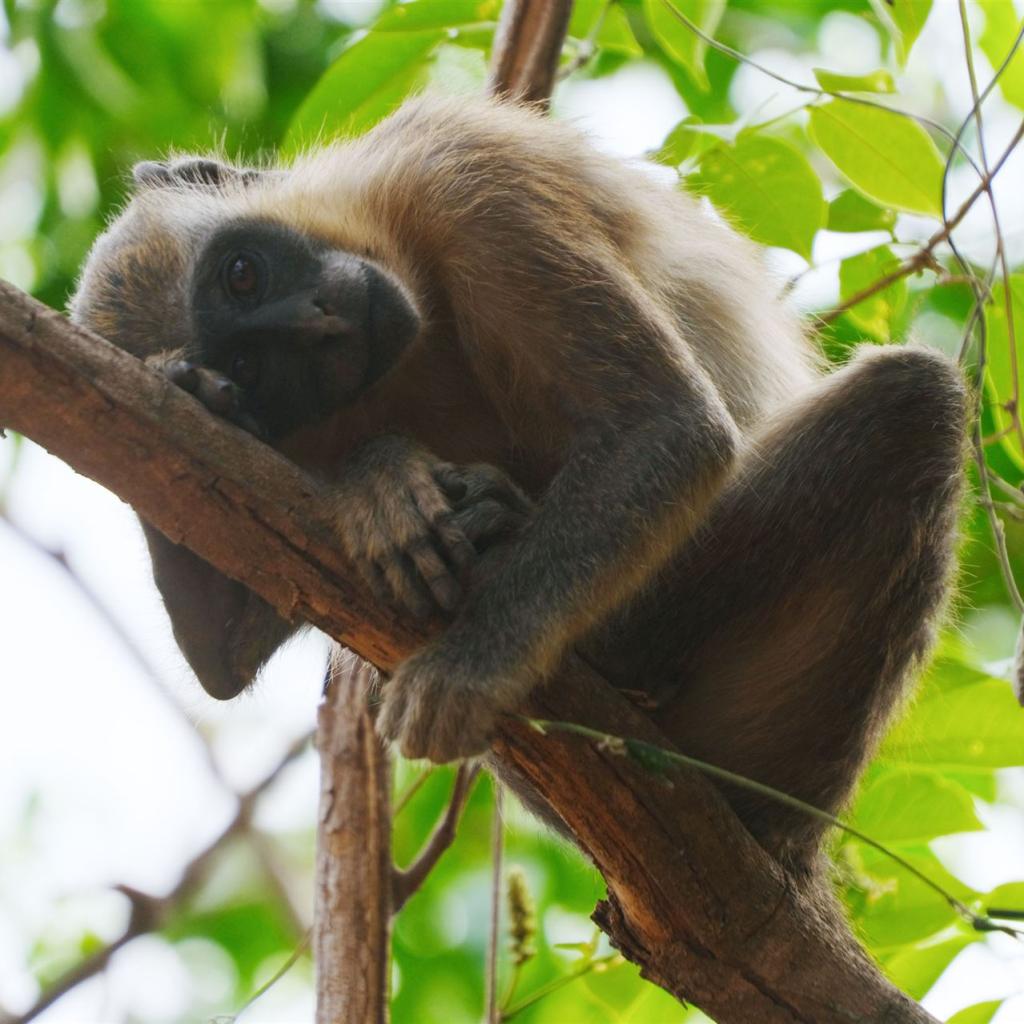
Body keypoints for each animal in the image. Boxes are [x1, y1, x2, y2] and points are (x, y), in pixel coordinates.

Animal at [70, 93, 966, 873]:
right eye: (252, 366)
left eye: (243, 274)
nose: (318, 324)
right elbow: (228, 651)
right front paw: (224, 411)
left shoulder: (466, 176)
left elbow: (668, 425)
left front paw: (472, 664)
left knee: (912, 397)